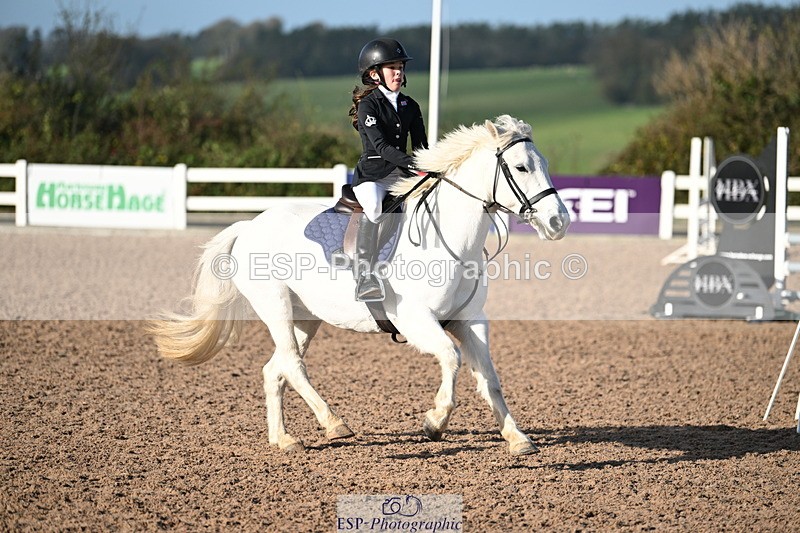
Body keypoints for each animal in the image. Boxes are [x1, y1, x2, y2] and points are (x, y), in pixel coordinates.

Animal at [148, 115, 570, 455]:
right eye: (520, 166)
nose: (558, 222)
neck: (449, 239)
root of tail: (248, 225)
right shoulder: (415, 320)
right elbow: (451, 358)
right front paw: (434, 422)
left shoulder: (471, 320)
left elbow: (490, 379)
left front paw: (517, 438)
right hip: (275, 307)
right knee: (293, 364)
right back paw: (334, 424)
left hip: (306, 317)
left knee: (275, 369)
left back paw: (284, 439)